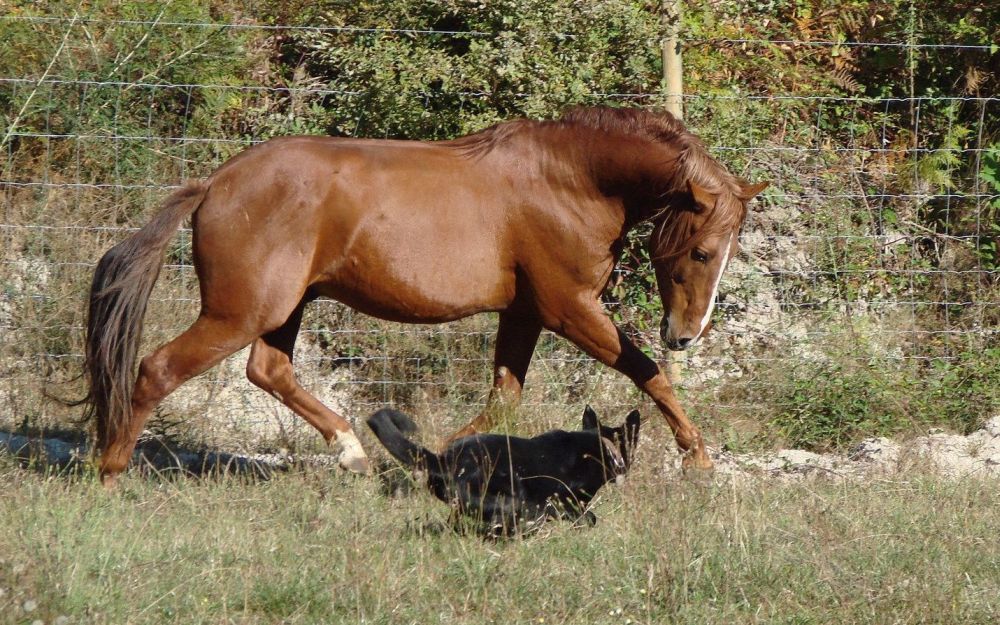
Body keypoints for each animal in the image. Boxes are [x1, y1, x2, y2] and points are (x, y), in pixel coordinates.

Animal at [84, 106, 764, 482]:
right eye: (702, 252)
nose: (685, 335)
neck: (573, 180)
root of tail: (215, 183)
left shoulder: (523, 313)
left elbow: (504, 401)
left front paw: (439, 456)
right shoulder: (567, 308)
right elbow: (648, 373)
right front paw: (698, 458)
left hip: (282, 308)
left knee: (268, 371)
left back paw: (353, 453)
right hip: (241, 310)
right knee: (156, 369)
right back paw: (110, 475)